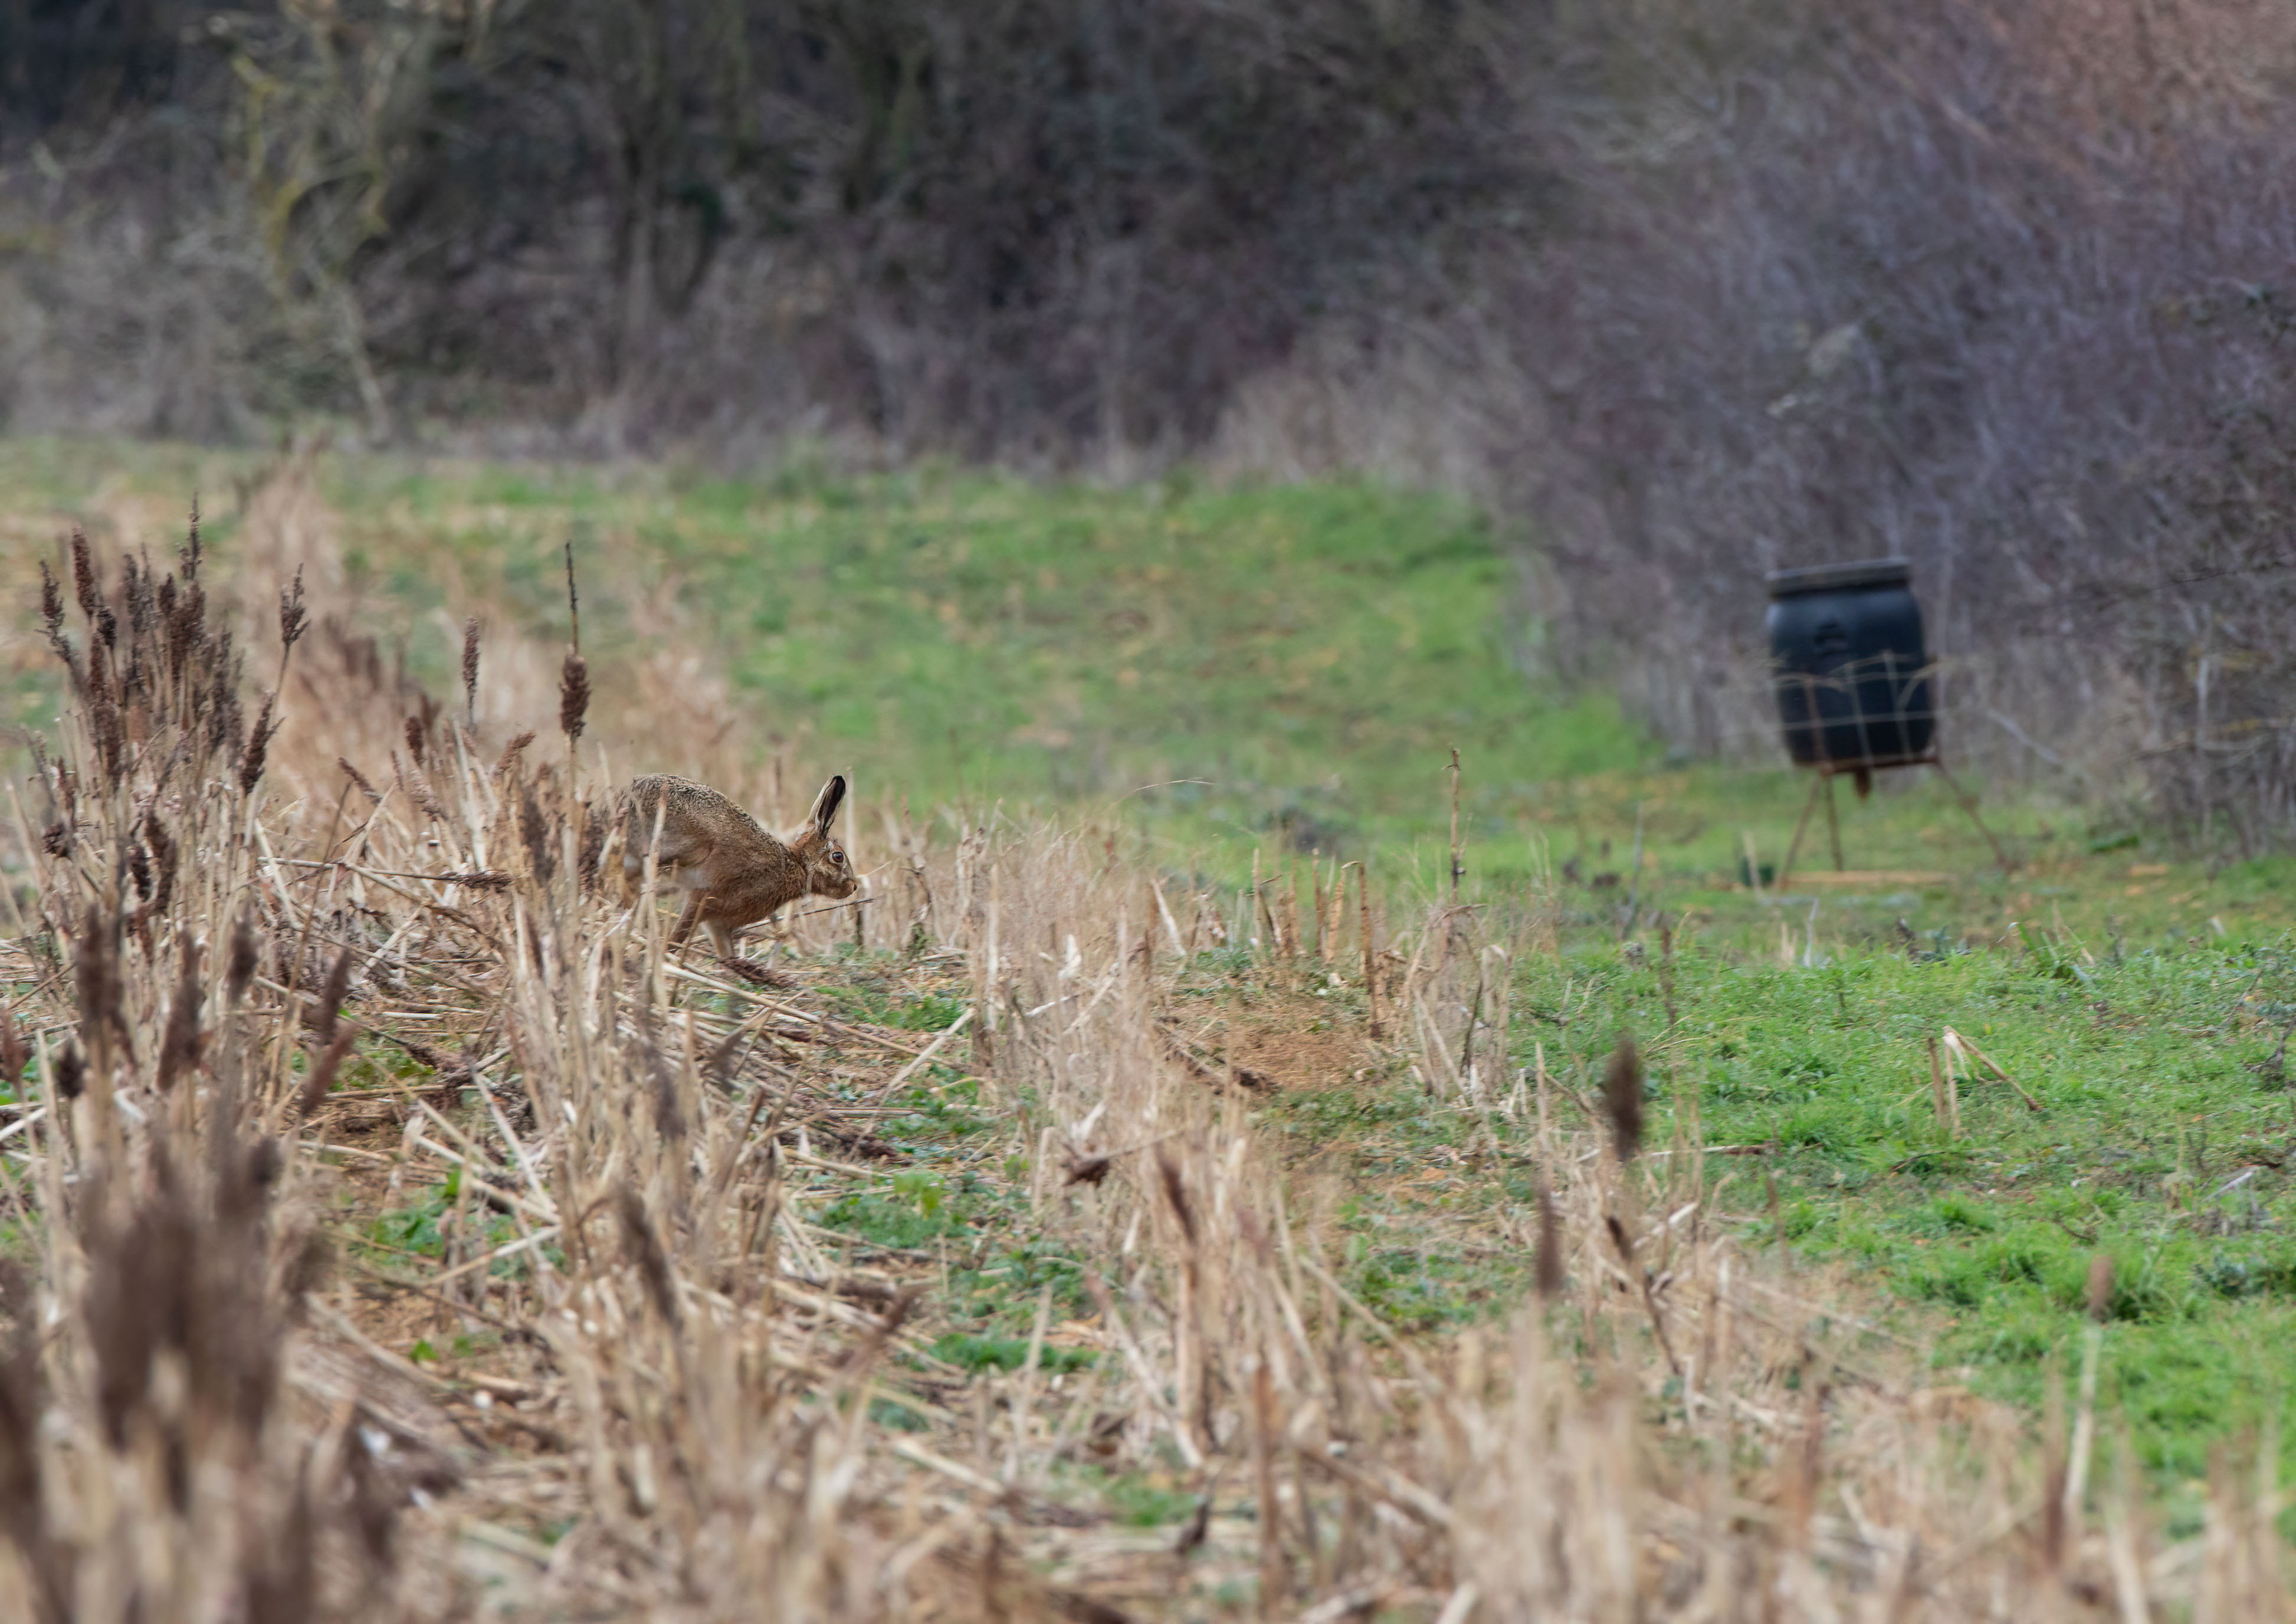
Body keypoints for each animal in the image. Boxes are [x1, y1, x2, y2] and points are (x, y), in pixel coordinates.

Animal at [620, 772, 857, 957]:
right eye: (838, 857)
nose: (854, 887)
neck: (797, 864)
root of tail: (627, 796)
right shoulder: (705, 898)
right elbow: (680, 934)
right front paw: (661, 956)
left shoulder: (719, 923)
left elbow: (728, 954)